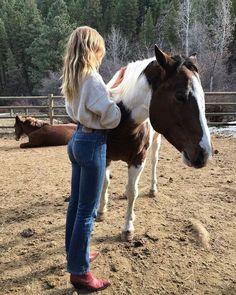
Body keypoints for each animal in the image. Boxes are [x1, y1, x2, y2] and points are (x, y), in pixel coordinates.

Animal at [97, 45, 211, 242]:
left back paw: (152, 189)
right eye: (180, 96)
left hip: (155, 144)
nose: (204, 153)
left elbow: (133, 191)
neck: (119, 119)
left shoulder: (138, 159)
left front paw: (127, 228)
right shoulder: (106, 156)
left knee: (153, 164)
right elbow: (105, 182)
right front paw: (101, 211)